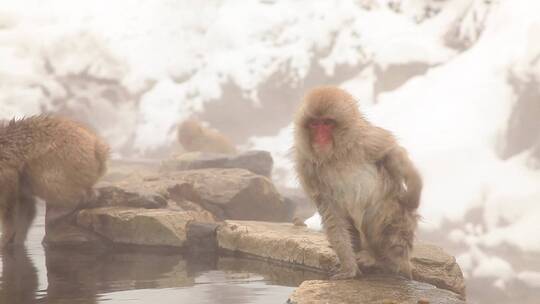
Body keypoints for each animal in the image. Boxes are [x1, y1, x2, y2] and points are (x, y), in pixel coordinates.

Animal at [0, 115, 108, 248]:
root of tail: (97, 147)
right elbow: (26, 206)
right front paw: (16, 239)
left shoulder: (5, 174)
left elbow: (9, 204)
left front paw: (5, 238)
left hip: (65, 160)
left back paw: (62, 209)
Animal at [292, 86, 422, 280]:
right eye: (315, 124)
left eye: (327, 123)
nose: (320, 137)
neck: (336, 155)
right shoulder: (307, 168)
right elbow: (331, 212)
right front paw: (348, 267)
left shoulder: (368, 139)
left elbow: (392, 152)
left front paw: (414, 193)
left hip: (401, 229)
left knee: (377, 210)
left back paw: (382, 260)